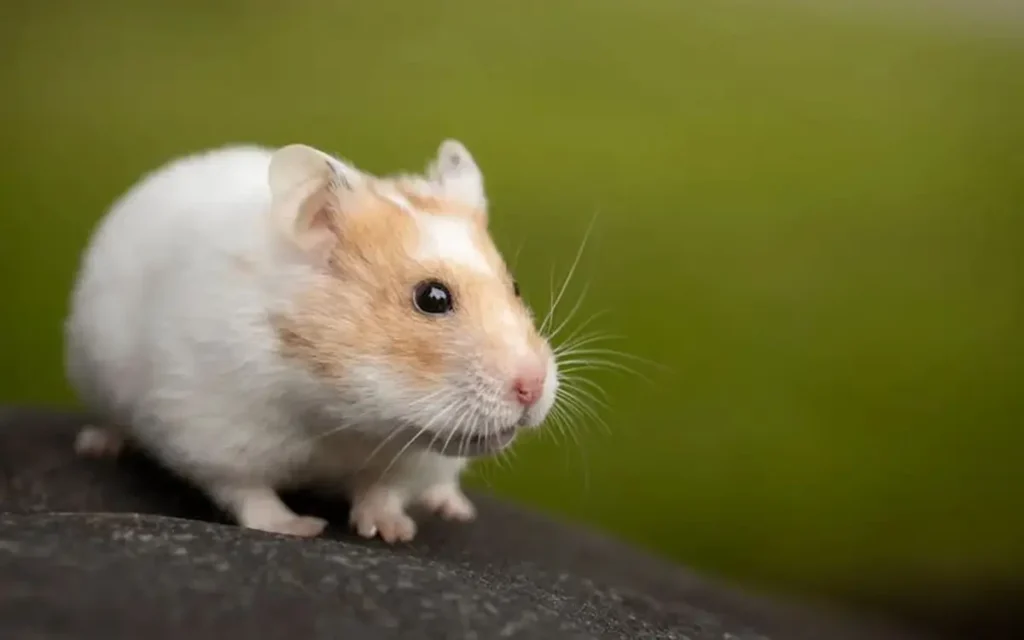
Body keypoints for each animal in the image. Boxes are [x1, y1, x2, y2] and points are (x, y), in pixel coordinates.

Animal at [63, 139, 559, 542]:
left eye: (515, 287)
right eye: (432, 298)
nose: (532, 388)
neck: (344, 415)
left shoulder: (414, 459)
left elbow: (385, 491)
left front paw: (393, 532)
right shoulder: (211, 431)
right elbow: (249, 493)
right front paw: (301, 528)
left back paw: (452, 507)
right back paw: (98, 445)